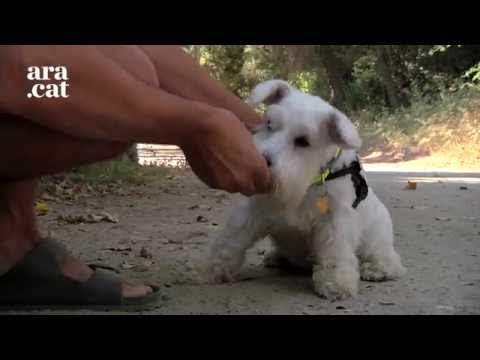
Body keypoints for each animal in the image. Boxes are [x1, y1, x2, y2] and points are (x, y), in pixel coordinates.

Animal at [206, 80, 404, 300]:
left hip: (376, 241)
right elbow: (231, 240)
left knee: (389, 260)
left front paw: (335, 283)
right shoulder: (252, 210)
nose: (261, 161)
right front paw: (214, 268)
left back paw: (377, 269)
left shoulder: (335, 220)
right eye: (269, 124)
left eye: (302, 141)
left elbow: (334, 251)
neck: (308, 181)